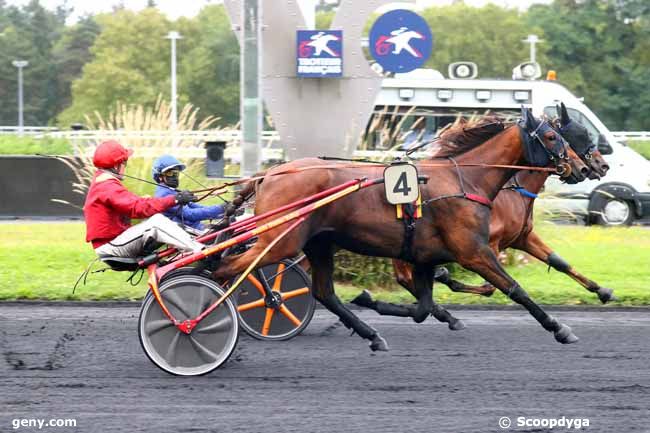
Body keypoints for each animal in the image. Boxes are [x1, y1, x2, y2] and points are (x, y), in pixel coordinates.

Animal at [215, 109, 584, 352]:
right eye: (552, 136)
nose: (580, 167)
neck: (465, 180)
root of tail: (269, 174)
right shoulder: (474, 252)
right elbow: (515, 289)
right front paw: (559, 328)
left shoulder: (425, 257)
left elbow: (422, 308)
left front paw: (372, 301)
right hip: (280, 242)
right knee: (225, 268)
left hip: (318, 244)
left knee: (323, 292)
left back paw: (370, 334)